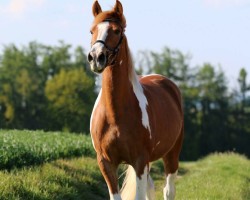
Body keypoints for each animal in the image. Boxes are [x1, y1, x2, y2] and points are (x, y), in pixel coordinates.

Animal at [87, 0, 184, 199]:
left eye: (117, 31)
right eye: (92, 31)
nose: (96, 58)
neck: (115, 113)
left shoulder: (139, 161)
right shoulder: (106, 163)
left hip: (171, 154)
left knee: (168, 190)